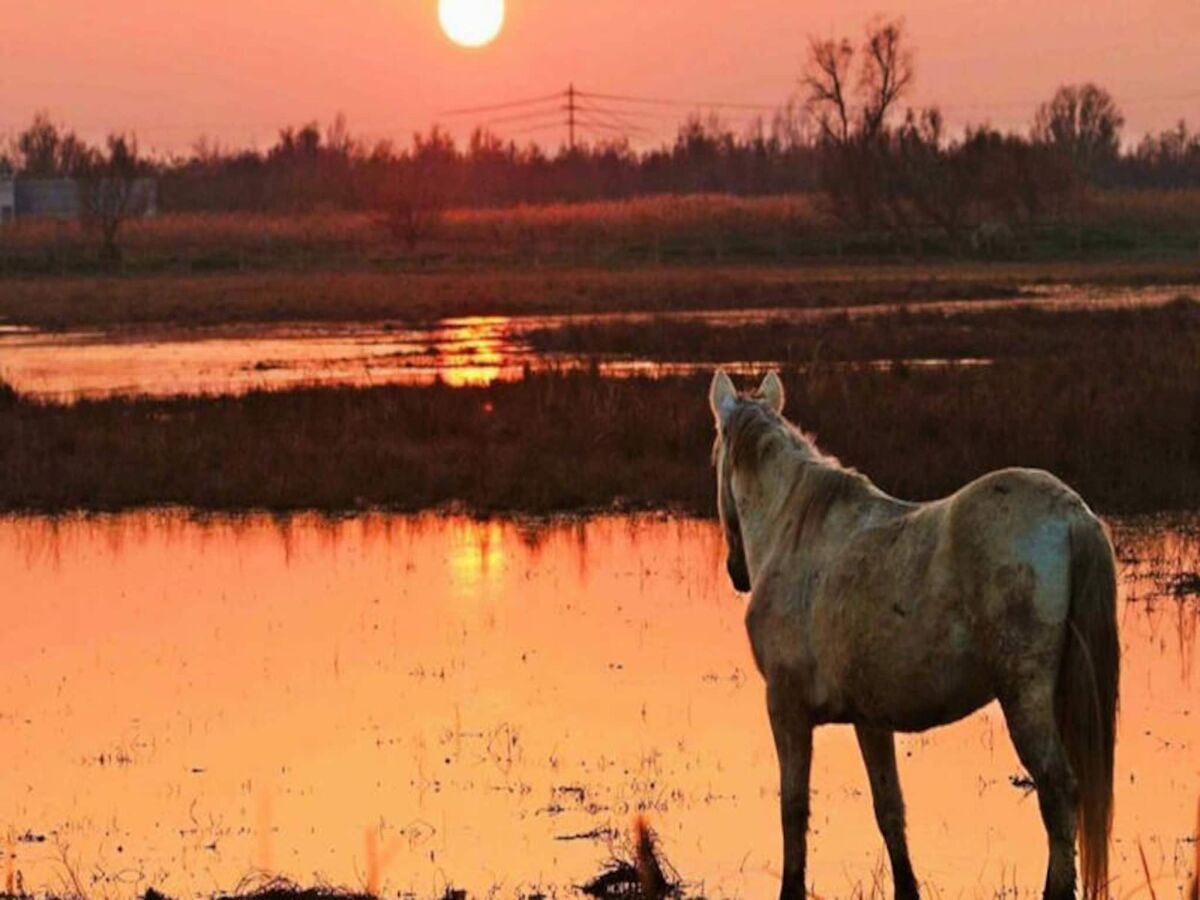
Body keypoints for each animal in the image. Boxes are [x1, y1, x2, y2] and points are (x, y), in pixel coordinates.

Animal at [705, 369, 1118, 900]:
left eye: (715, 456)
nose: (737, 572)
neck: (795, 530)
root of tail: (1071, 513)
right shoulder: (870, 719)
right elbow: (889, 810)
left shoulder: (785, 707)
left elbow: (792, 809)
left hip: (1025, 697)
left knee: (1058, 791)